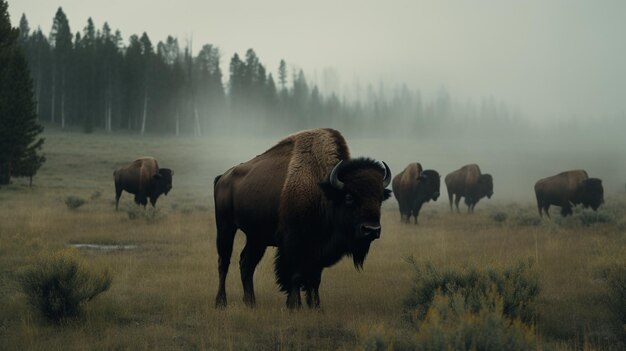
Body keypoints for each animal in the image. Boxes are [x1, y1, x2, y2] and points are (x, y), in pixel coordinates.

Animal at [214, 129, 390, 310]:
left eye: (380, 198)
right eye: (349, 197)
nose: (372, 230)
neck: (322, 191)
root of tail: (223, 177)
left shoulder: (318, 249)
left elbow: (315, 278)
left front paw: (315, 306)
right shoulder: (293, 243)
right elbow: (295, 275)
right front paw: (294, 305)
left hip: (256, 238)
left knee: (246, 263)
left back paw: (251, 302)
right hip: (225, 227)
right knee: (224, 261)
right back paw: (221, 302)